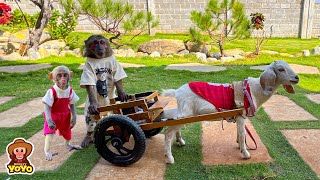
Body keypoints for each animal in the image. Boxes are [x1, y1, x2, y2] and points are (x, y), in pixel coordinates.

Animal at [162, 59, 300, 164]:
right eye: (281, 69)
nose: (297, 78)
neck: (254, 90)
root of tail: (177, 92)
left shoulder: (239, 116)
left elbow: (239, 133)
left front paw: (239, 145)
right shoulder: (241, 115)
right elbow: (243, 133)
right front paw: (246, 153)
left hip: (183, 113)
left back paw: (180, 141)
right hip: (186, 114)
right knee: (168, 132)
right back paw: (170, 158)